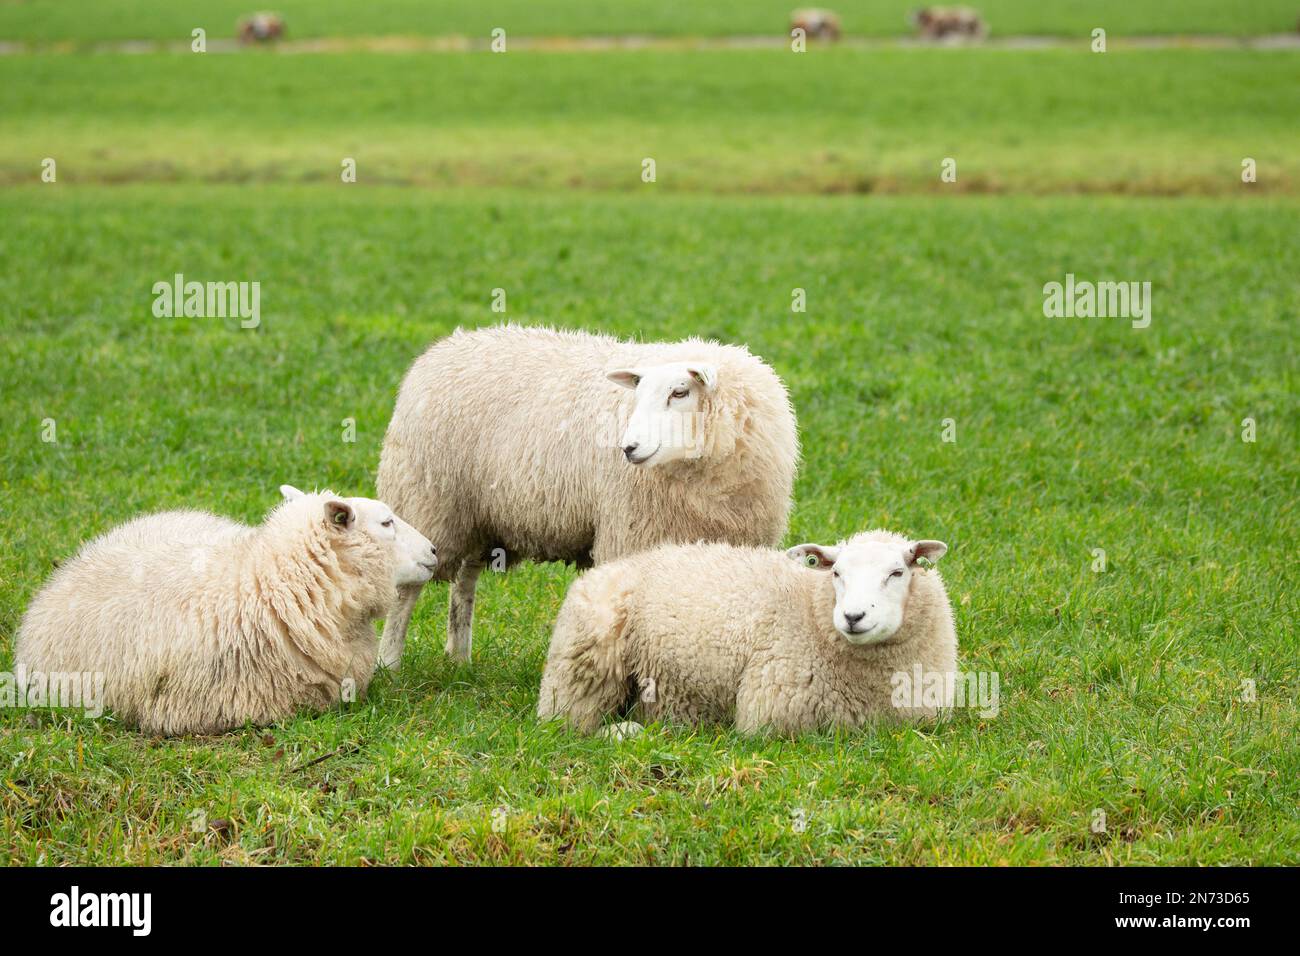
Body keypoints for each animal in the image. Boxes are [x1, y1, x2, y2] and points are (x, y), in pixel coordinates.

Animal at [377, 325, 795, 671]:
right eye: (638, 395)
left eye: (680, 392)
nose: (628, 448)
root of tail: (445, 347)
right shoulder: (634, 536)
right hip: (427, 502)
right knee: (405, 591)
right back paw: (388, 664)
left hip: (479, 515)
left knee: (464, 581)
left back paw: (459, 658)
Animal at [535, 528, 956, 738]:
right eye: (837, 573)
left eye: (897, 573)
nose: (853, 617)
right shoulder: (769, 713)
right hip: (584, 664)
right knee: (568, 720)